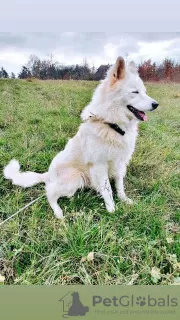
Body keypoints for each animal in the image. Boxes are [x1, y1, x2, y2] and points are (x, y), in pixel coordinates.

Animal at [3, 56, 159, 219]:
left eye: (144, 92)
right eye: (135, 92)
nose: (156, 104)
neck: (111, 125)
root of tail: (48, 175)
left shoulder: (120, 163)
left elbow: (119, 185)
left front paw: (124, 200)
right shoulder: (99, 166)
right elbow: (108, 190)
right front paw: (112, 210)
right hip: (75, 178)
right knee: (50, 193)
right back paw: (58, 212)